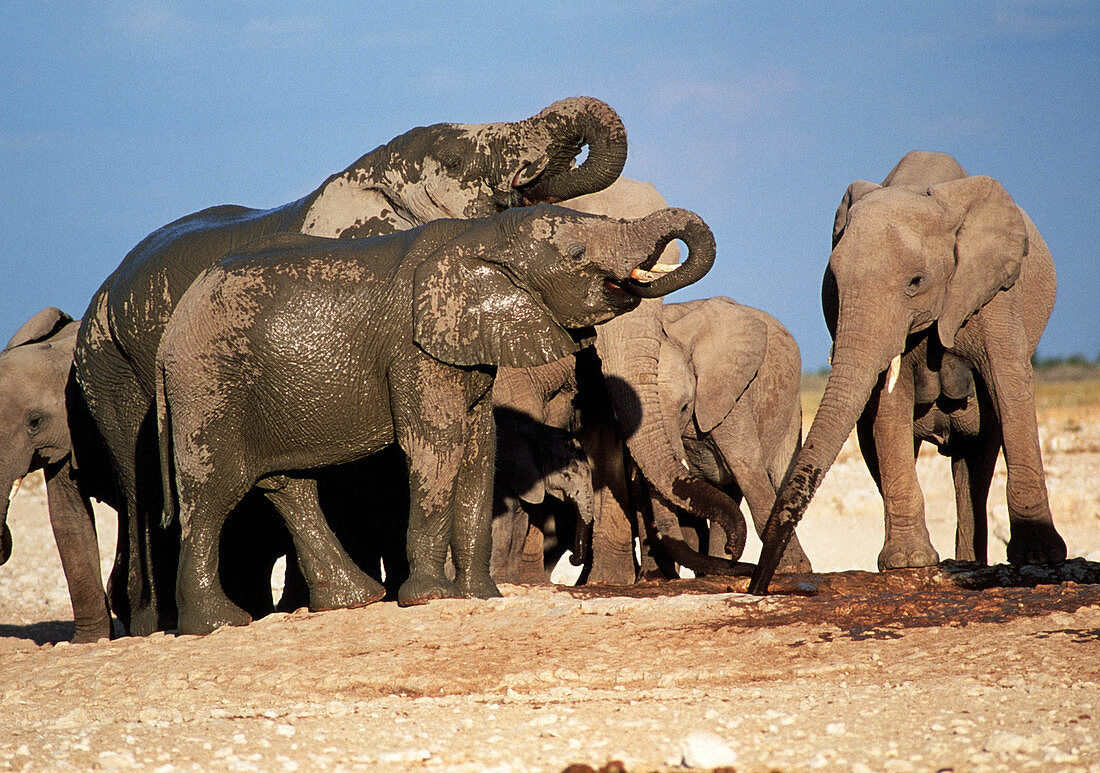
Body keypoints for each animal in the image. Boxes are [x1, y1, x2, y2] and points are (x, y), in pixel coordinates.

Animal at [70, 96, 629, 633]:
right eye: (455, 162)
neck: (368, 173)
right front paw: (423, 592)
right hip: (116, 369)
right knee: (148, 484)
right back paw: (171, 623)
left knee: (276, 481)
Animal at [157, 202, 721, 633]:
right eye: (578, 255)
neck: (478, 236)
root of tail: (169, 335)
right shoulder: (414, 350)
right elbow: (437, 446)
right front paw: (432, 597)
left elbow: (479, 448)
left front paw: (483, 596)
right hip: (209, 386)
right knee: (213, 491)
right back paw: (218, 625)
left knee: (286, 485)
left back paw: (354, 600)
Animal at [748, 152, 1064, 598]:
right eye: (832, 284)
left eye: (916, 282)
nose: (757, 586)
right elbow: (888, 404)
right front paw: (908, 563)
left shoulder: (995, 292)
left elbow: (1010, 382)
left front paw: (1041, 559)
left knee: (978, 455)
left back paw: (971, 564)